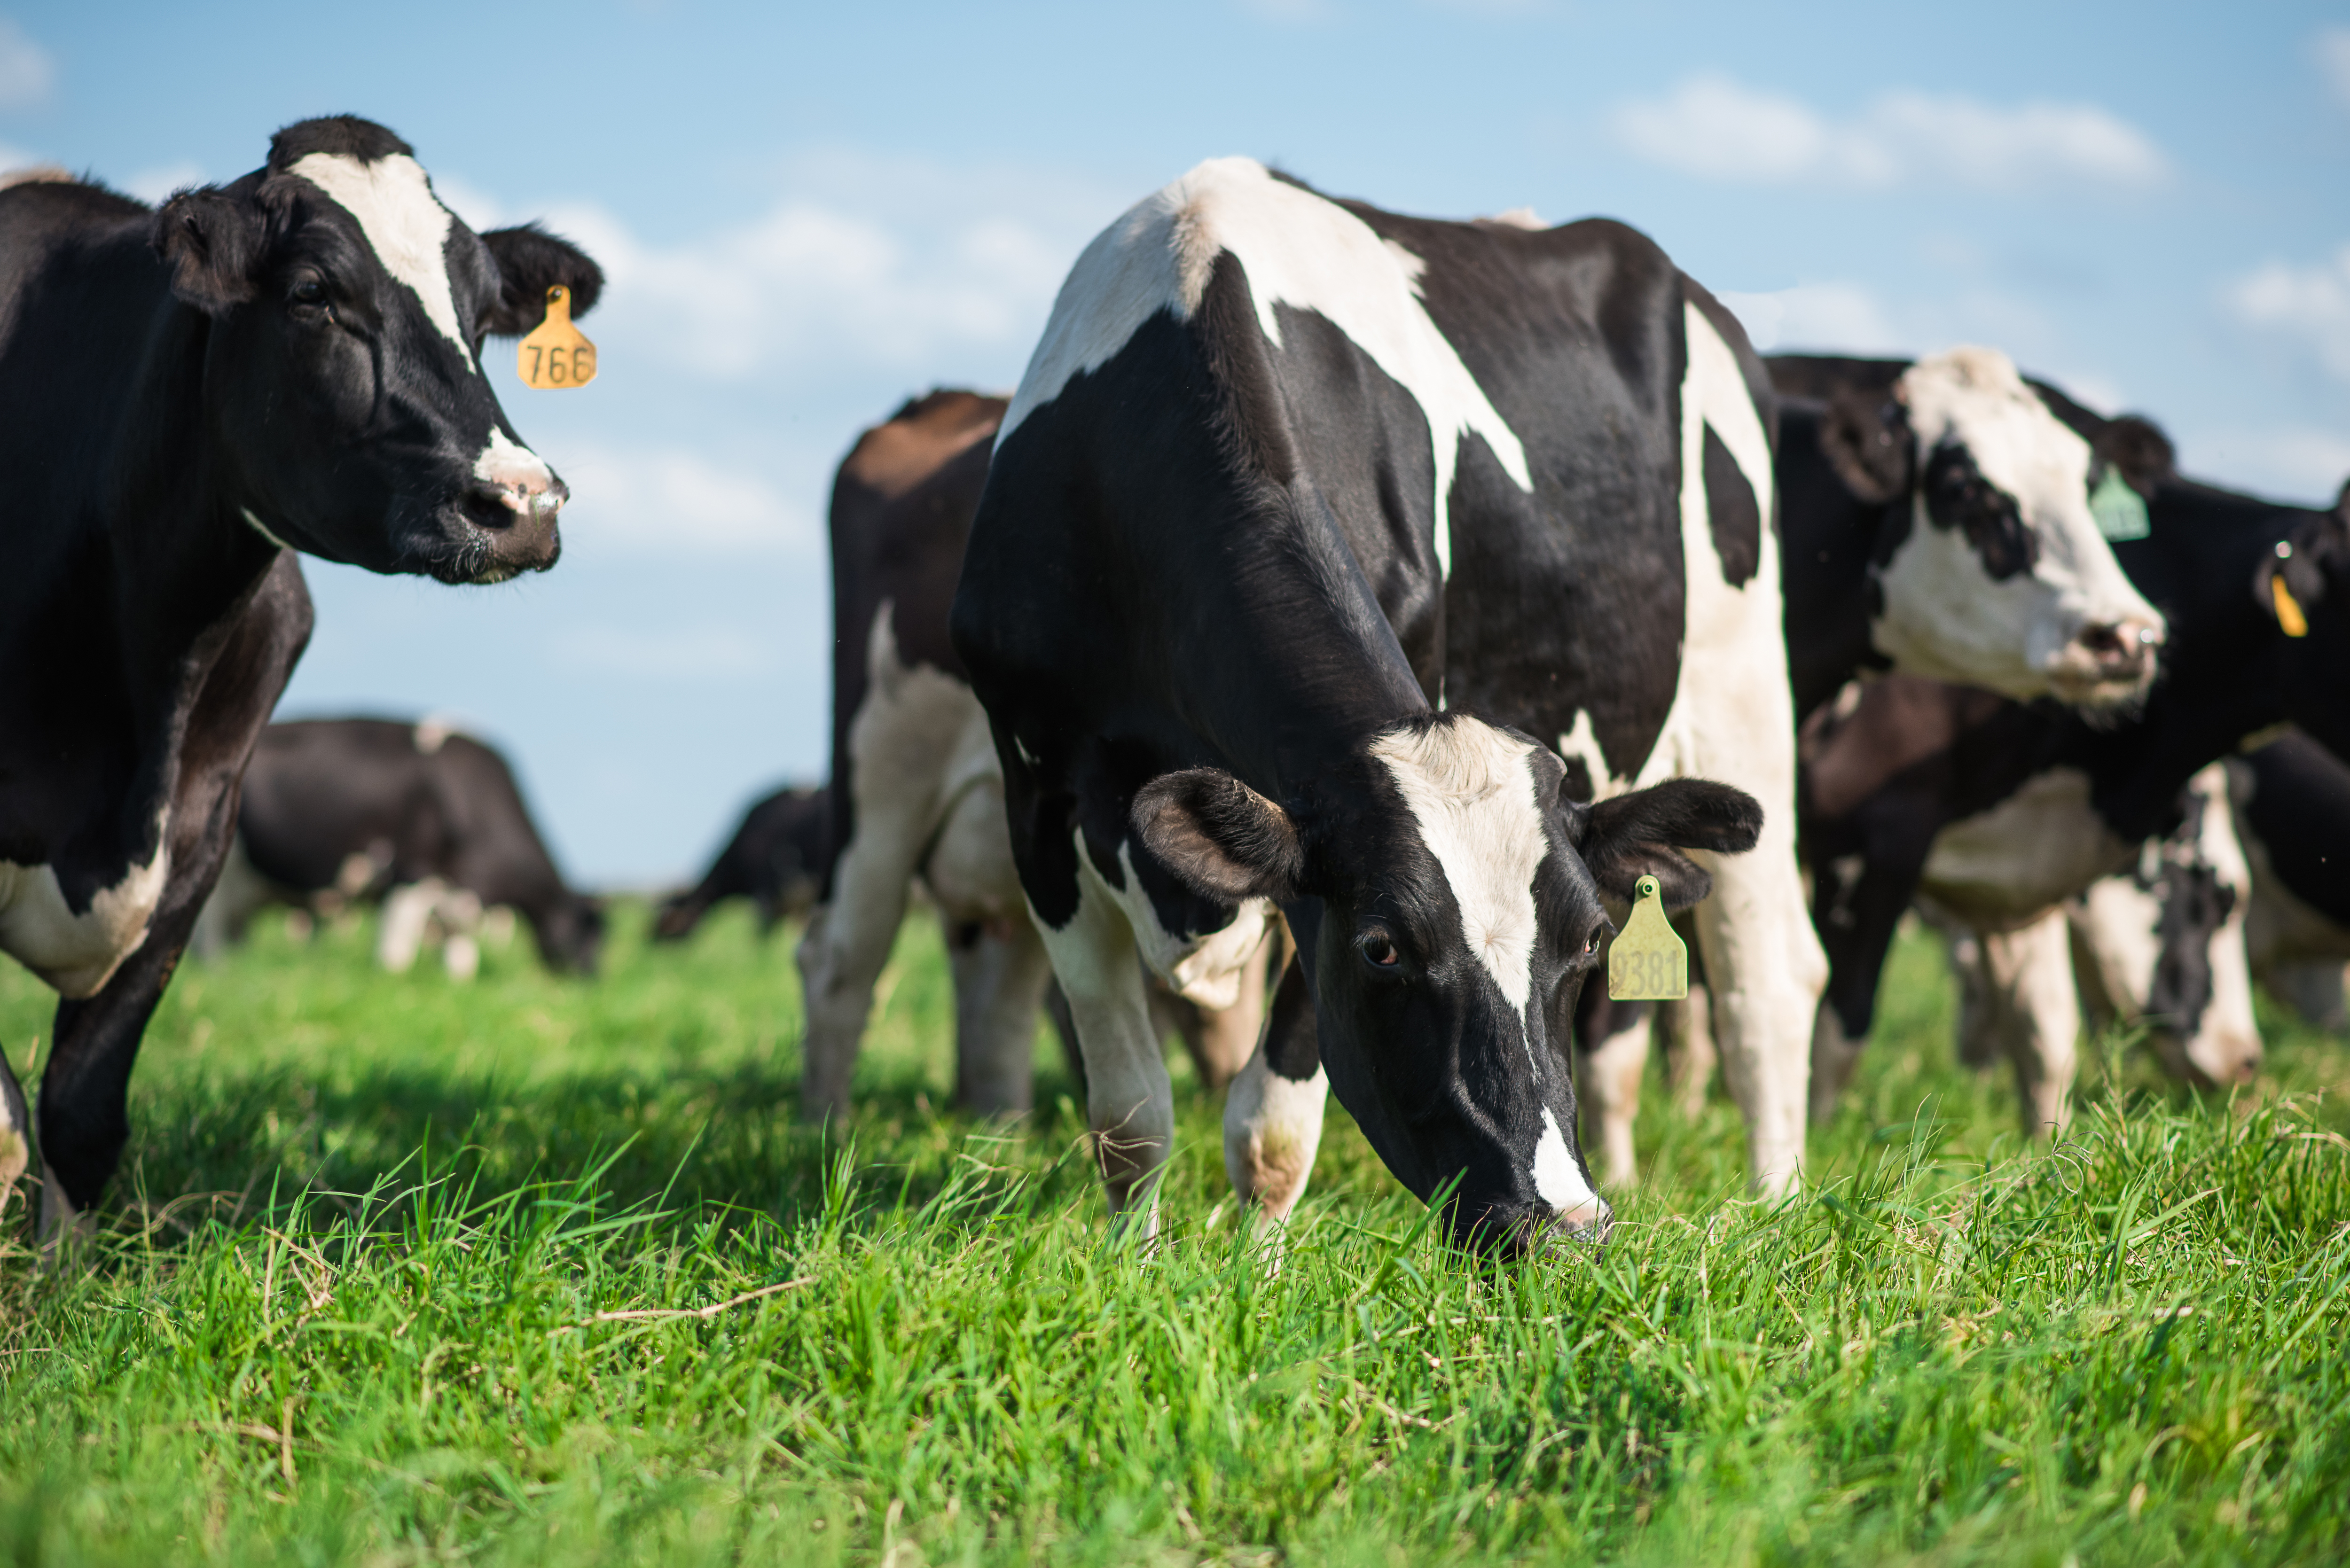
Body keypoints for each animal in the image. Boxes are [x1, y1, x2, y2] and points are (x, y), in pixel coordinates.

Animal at [198, 719, 606, 983]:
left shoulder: (462, 894)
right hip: (219, 882)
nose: (594, 981)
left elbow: (461, 957)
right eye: (589, 936)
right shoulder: (411, 875)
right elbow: (395, 955)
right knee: (210, 941)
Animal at [1777, 371, 2350, 1128]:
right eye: (2218, 900)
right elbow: (1836, 1031)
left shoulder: (2014, 859)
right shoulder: (1873, 834)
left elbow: (2044, 1026)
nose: (2244, 1062)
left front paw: (2042, 1141)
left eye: (2086, 490)